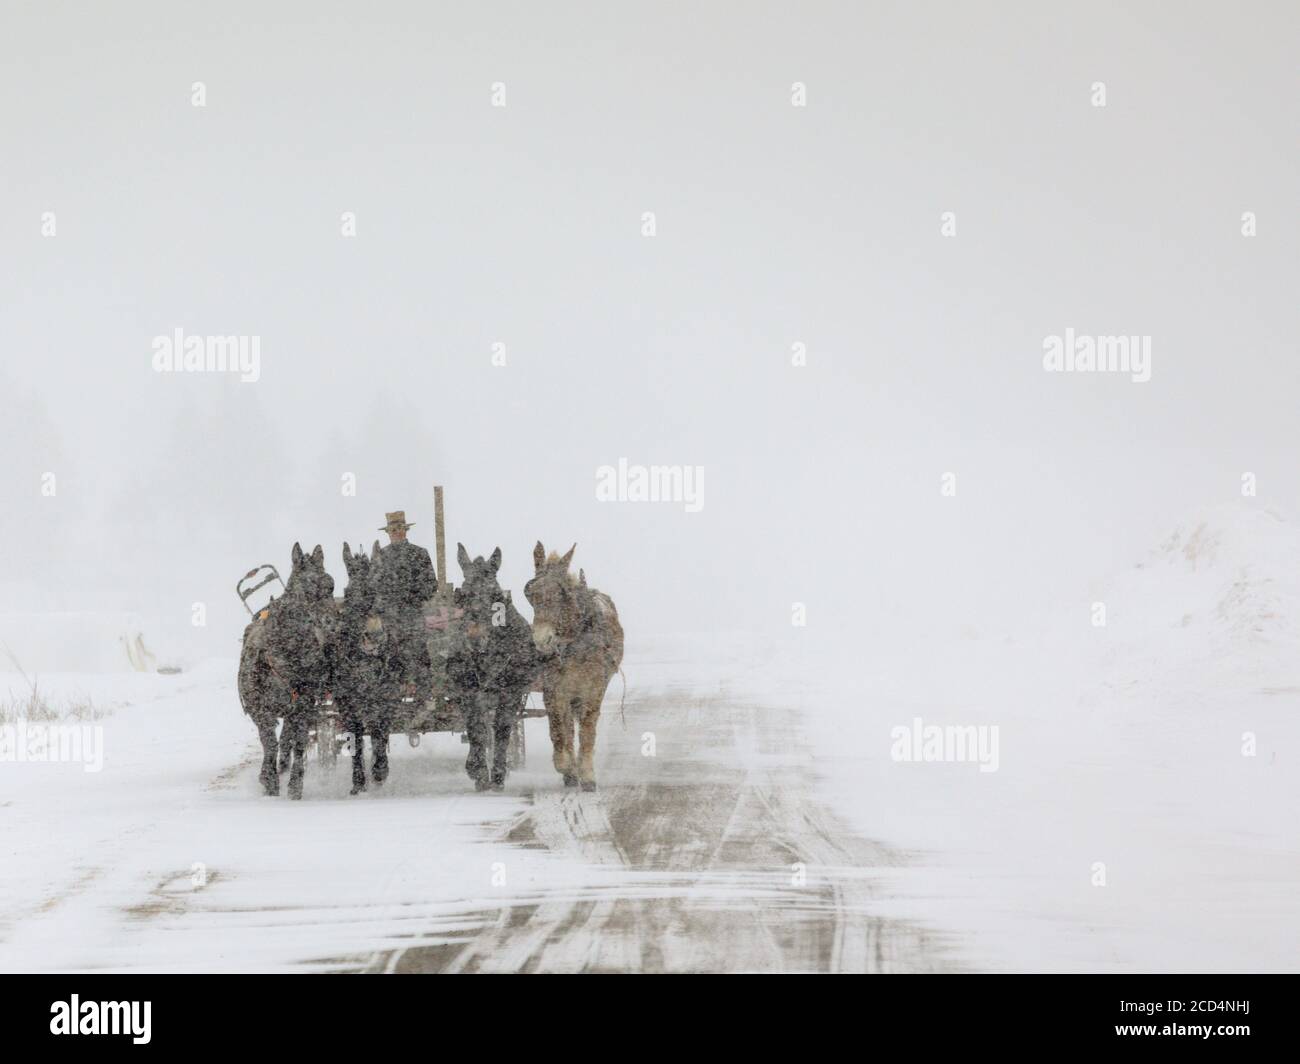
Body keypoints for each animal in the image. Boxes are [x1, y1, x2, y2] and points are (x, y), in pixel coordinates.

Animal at [237, 543, 335, 801]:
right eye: (308, 586)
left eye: (330, 584)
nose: (333, 624)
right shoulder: (261, 710)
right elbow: (269, 743)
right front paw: (270, 782)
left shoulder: (302, 706)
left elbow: (297, 742)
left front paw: (294, 786)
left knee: (287, 737)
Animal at [447, 546, 538, 785]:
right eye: (463, 594)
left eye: (495, 596)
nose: (475, 639)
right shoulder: (467, 689)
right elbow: (475, 726)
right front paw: (478, 770)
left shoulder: (512, 690)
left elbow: (503, 727)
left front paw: (498, 773)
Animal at [525, 543, 621, 785]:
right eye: (531, 594)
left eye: (561, 594)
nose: (542, 640)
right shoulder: (553, 689)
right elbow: (558, 728)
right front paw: (566, 766)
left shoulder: (594, 688)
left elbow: (587, 728)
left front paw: (586, 773)